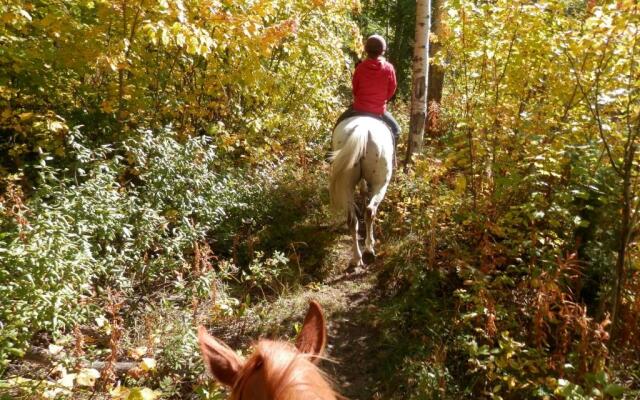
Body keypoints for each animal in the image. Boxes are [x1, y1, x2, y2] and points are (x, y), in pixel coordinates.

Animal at [332, 115, 392, 268]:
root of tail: (363, 130)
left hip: (345, 184)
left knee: (352, 220)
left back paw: (357, 258)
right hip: (381, 183)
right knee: (370, 211)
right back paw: (369, 249)